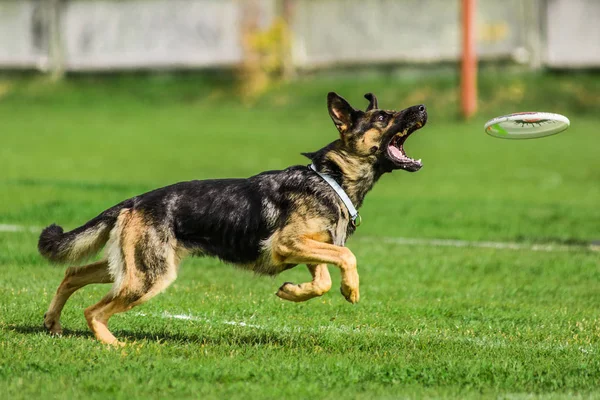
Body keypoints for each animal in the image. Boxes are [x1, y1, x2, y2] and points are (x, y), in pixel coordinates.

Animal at [37, 93, 426, 344]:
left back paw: (53, 323)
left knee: (72, 274)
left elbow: (322, 281)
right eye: (382, 117)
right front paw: (351, 288)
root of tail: (133, 202)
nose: (422, 107)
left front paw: (291, 291)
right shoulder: (288, 244)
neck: (332, 178)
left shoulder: (307, 248)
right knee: (94, 311)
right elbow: (346, 257)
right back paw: (114, 346)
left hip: (131, 268)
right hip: (148, 277)